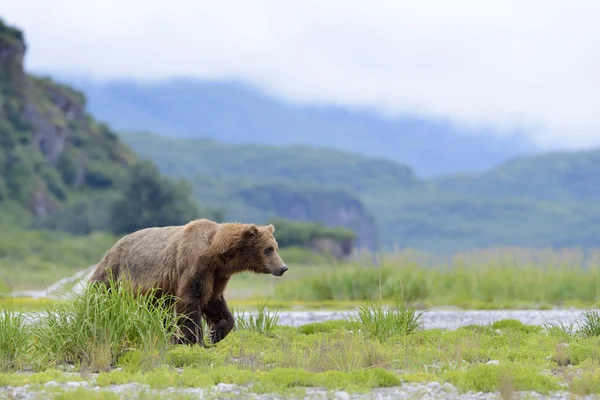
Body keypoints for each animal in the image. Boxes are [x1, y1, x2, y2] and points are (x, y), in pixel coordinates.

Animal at [86, 217, 288, 346]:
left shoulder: (217, 275)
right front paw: (195, 339)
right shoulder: (194, 264)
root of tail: (112, 247)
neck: (217, 252)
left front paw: (217, 332)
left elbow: (214, 301)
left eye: (275, 247)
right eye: (268, 249)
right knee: (100, 295)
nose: (283, 267)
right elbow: (190, 300)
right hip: (115, 273)